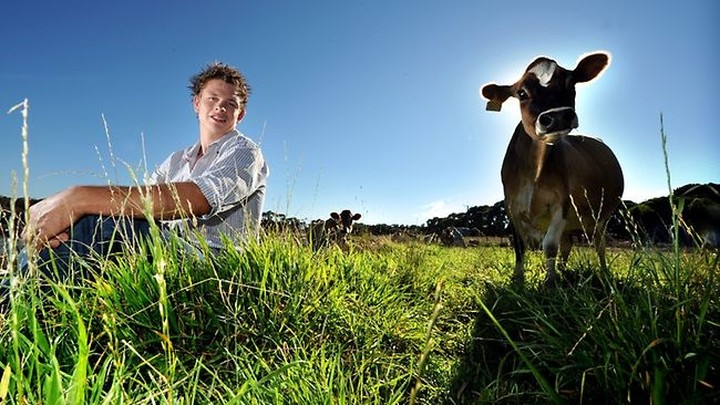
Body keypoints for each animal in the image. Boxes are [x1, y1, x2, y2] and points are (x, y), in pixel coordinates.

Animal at [478, 50, 624, 284]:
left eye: (571, 84)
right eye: (521, 93)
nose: (558, 116)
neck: (534, 171)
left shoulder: (561, 203)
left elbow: (550, 246)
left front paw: (550, 282)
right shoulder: (511, 206)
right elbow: (520, 247)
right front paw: (518, 280)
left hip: (601, 217)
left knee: (598, 245)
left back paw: (604, 275)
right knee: (568, 244)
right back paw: (564, 271)